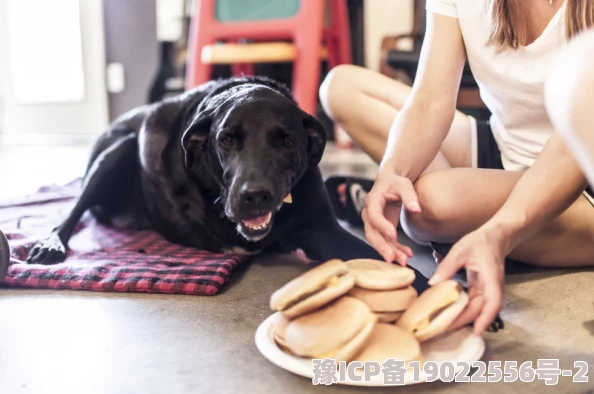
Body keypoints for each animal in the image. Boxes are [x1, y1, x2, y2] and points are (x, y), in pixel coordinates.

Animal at [25, 77, 416, 272]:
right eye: (226, 139)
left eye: (288, 140)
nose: (254, 195)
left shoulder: (322, 231)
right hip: (116, 151)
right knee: (71, 212)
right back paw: (49, 244)